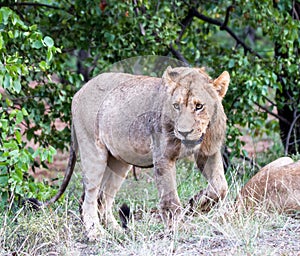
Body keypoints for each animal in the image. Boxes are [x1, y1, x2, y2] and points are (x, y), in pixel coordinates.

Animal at [32, 66, 230, 240]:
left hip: (119, 161)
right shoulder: (163, 157)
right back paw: (96, 234)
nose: (183, 132)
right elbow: (171, 199)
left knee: (103, 198)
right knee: (88, 198)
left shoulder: (209, 152)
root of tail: (79, 91)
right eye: (176, 106)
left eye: (199, 106)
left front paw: (199, 204)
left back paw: (118, 232)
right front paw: (179, 229)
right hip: (93, 152)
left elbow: (220, 186)